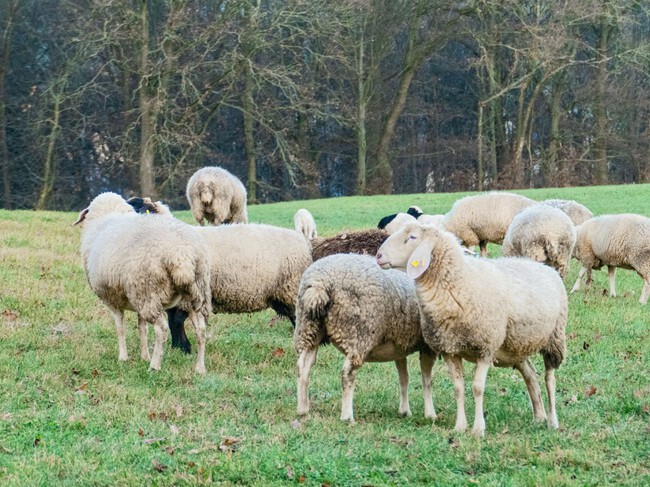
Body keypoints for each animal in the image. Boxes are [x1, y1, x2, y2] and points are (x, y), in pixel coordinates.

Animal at [73, 192, 211, 374]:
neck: (107, 215)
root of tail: (182, 256)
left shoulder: (112, 298)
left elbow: (120, 327)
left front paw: (123, 357)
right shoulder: (136, 298)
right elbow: (142, 328)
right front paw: (144, 355)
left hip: (149, 292)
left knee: (162, 329)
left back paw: (154, 366)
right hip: (193, 294)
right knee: (201, 330)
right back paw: (200, 368)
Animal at [294, 254, 436, 422]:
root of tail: (319, 284)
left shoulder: (399, 345)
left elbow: (404, 378)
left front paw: (404, 411)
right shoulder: (427, 346)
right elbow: (426, 380)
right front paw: (430, 414)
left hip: (308, 328)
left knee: (303, 367)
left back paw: (303, 409)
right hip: (359, 334)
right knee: (347, 373)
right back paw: (347, 416)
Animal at [376, 222, 567, 436]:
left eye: (412, 237)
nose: (379, 256)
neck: (459, 282)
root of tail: (544, 267)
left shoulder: (486, 347)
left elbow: (477, 388)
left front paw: (478, 429)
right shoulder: (450, 349)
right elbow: (458, 388)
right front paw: (460, 427)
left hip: (554, 340)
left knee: (549, 379)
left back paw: (552, 421)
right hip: (516, 346)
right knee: (531, 376)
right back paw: (539, 417)